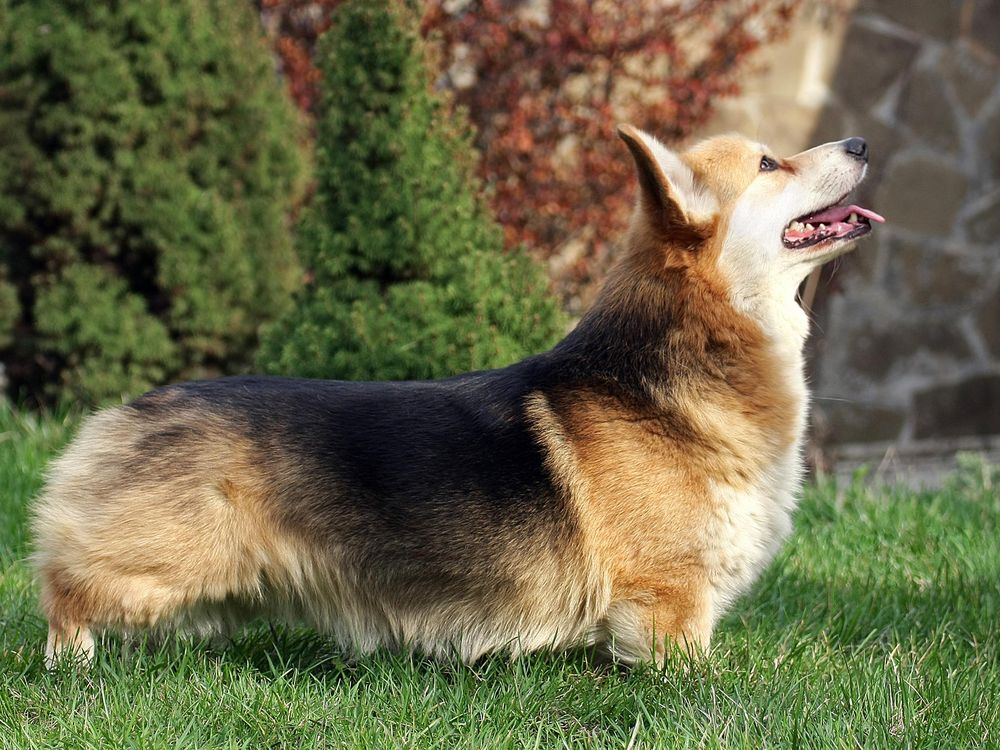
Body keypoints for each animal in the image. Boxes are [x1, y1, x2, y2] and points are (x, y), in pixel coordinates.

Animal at [33, 125, 884, 668]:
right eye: (771, 162)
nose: (861, 144)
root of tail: (126, 410)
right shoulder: (669, 594)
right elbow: (688, 668)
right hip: (150, 567)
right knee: (64, 587)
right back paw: (68, 666)